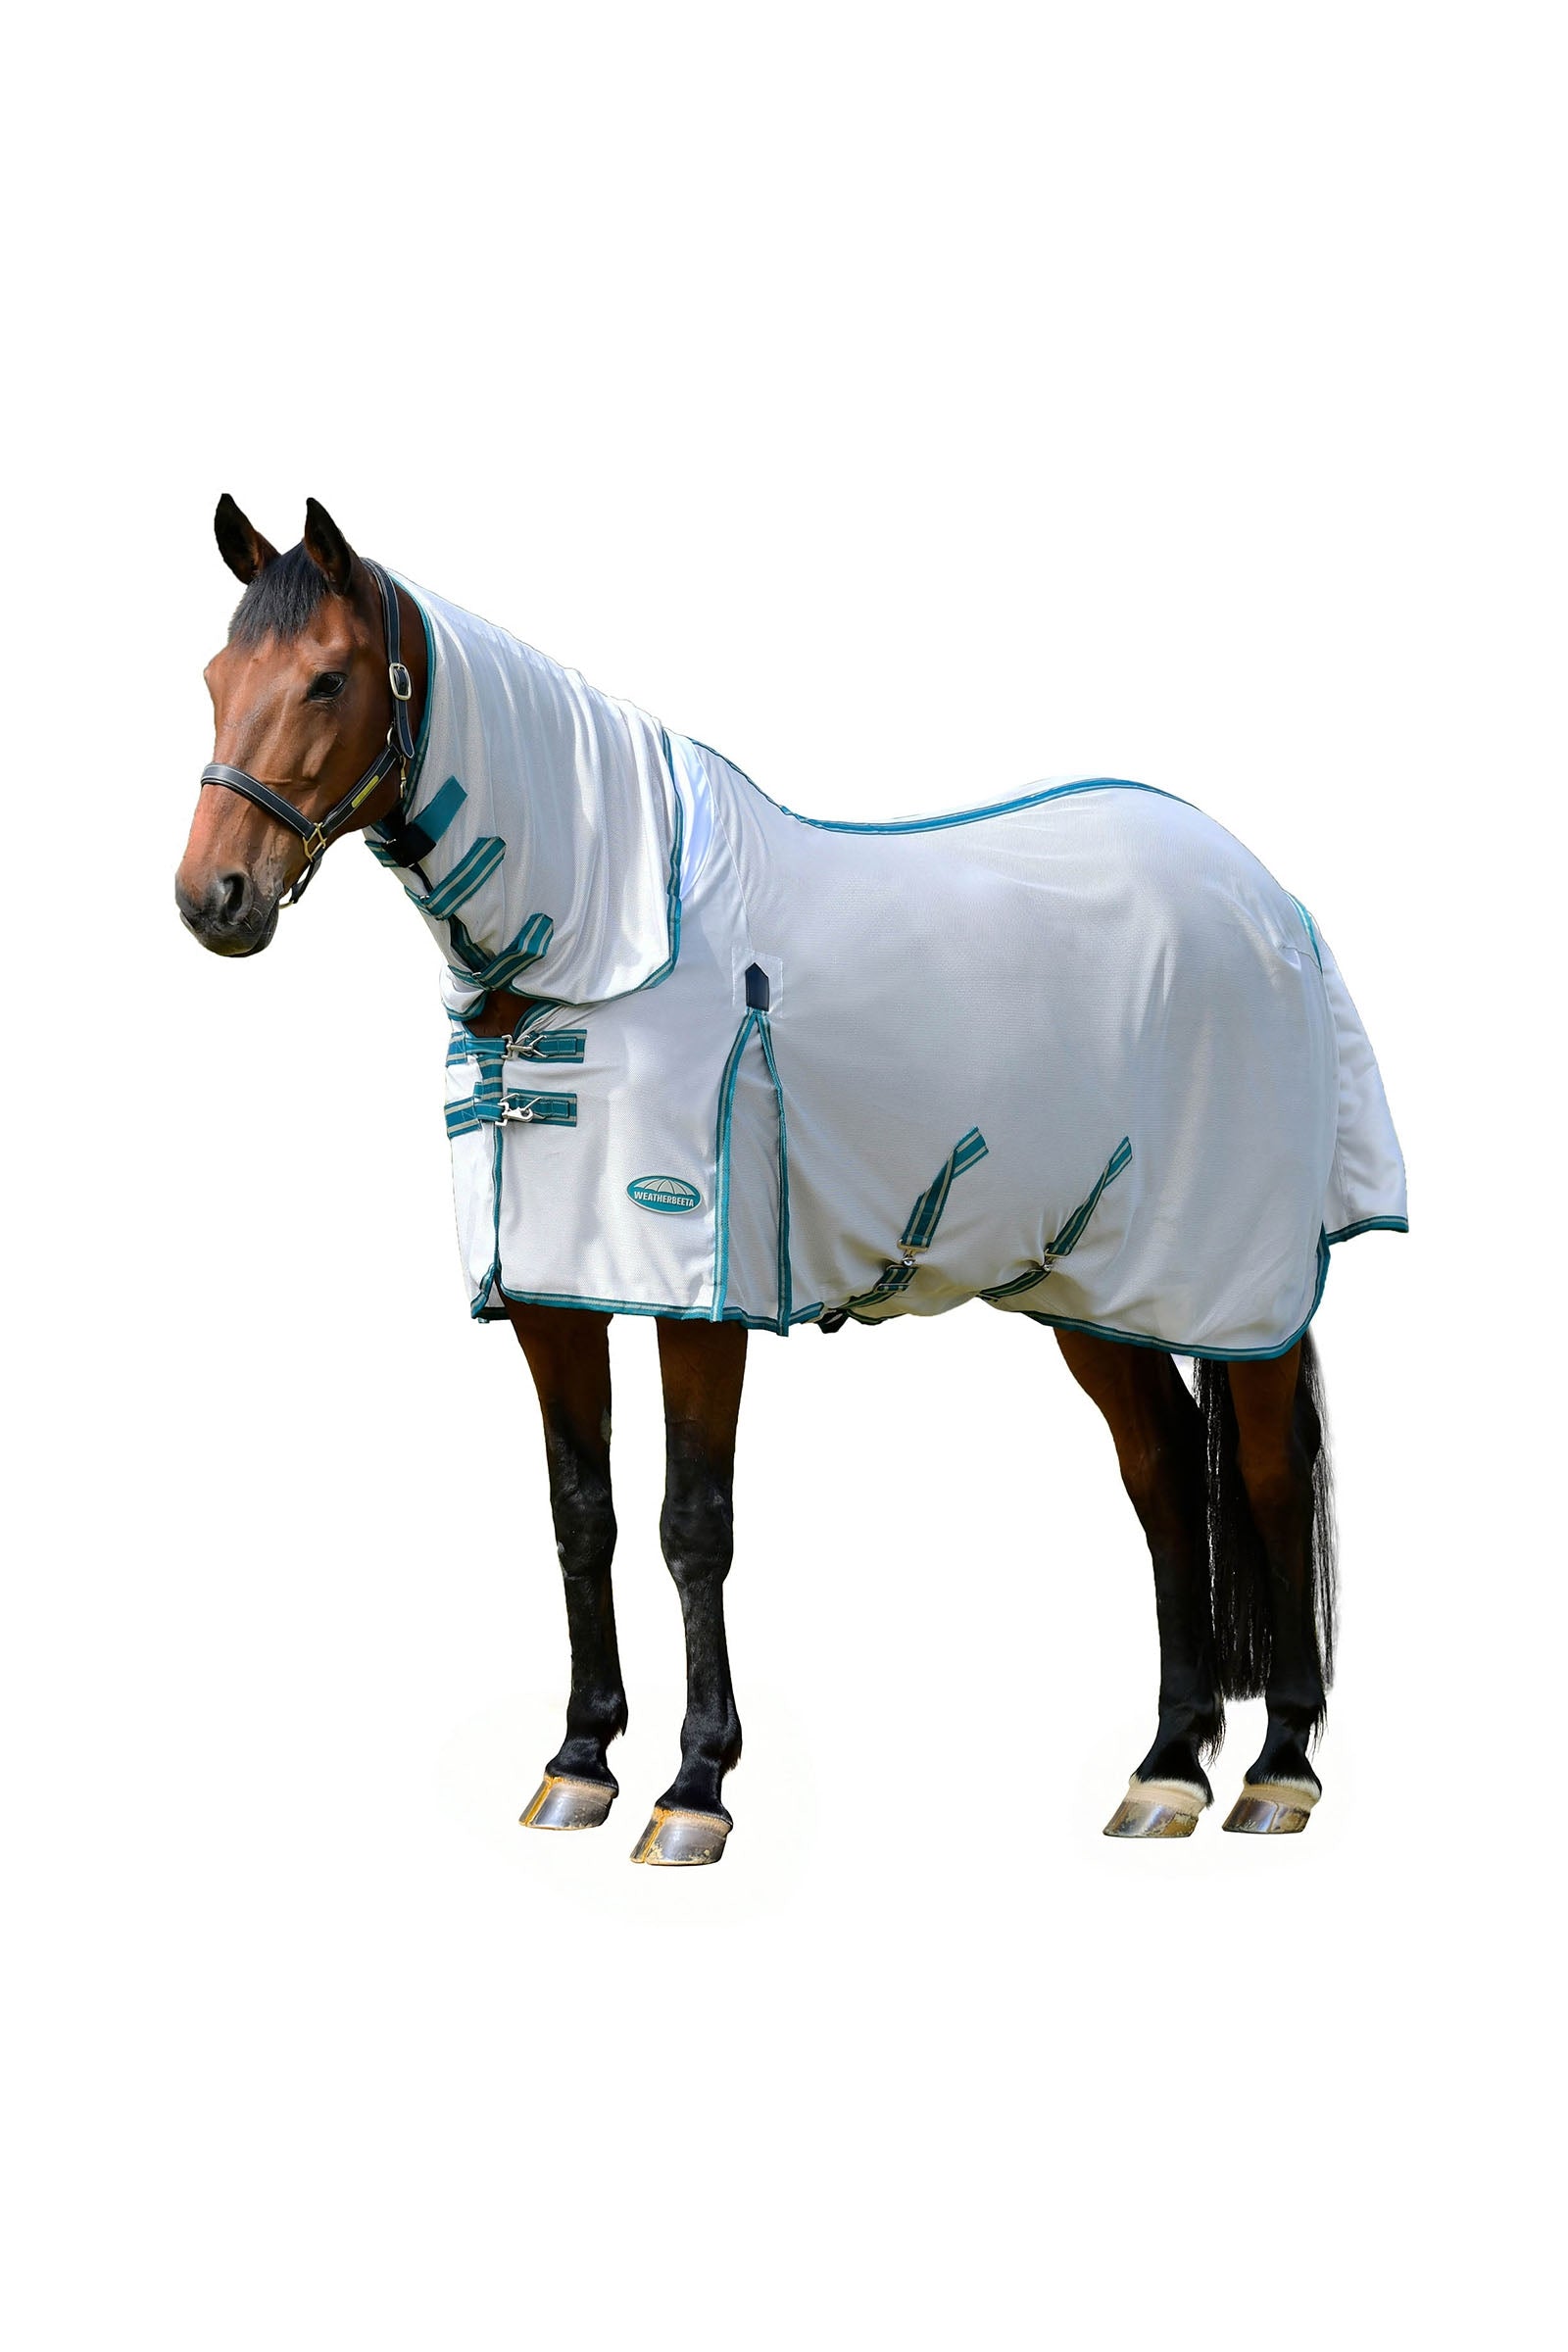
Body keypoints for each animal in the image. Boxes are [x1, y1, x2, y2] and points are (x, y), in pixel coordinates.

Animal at [176, 495, 1407, 1864]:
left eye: (328, 679)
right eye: (217, 678)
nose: (212, 897)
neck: (604, 934)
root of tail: (1269, 899)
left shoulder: (701, 1300)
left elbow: (689, 1525)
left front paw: (693, 1786)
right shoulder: (555, 1297)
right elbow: (581, 1516)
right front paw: (579, 1763)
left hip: (1236, 1286)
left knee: (1263, 1476)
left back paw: (1277, 1772)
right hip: (1096, 1283)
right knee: (1162, 1480)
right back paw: (1165, 1772)